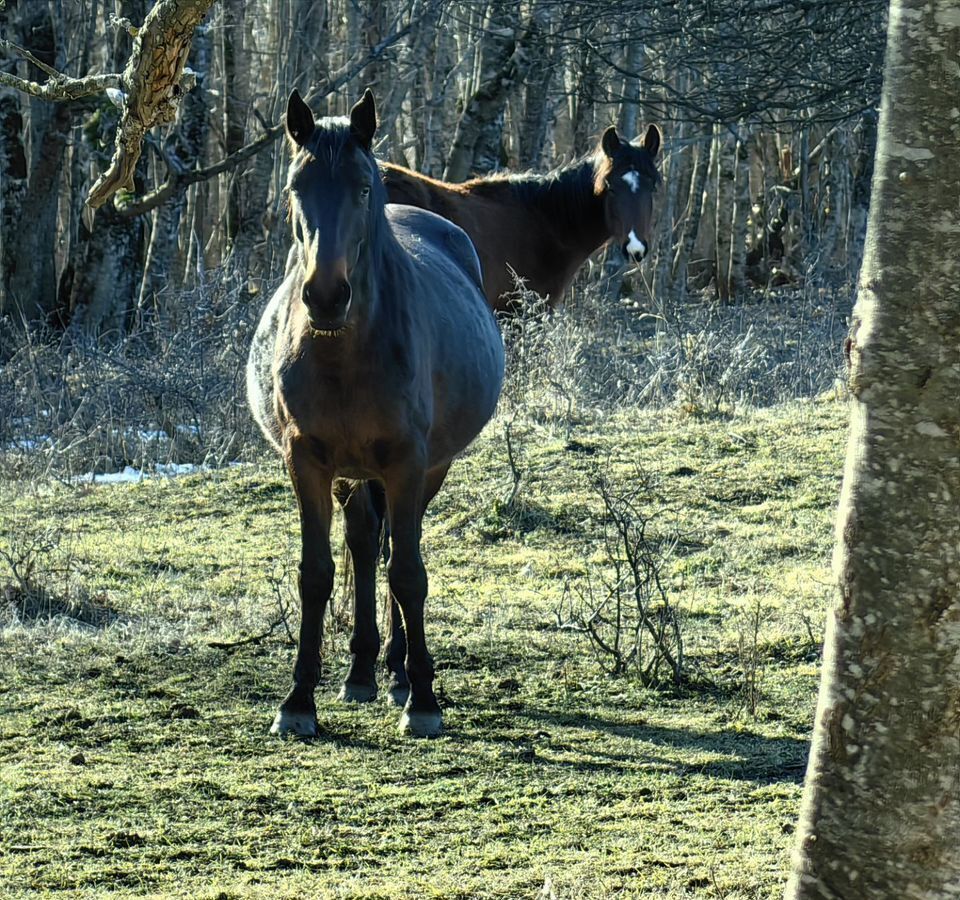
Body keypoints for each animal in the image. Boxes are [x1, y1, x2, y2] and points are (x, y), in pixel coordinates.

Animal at [246, 89, 502, 740]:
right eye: (296, 187)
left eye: (363, 188)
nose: (325, 295)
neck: (345, 353)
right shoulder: (307, 462)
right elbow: (316, 574)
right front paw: (298, 702)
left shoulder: (408, 463)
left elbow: (408, 572)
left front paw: (424, 700)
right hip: (352, 474)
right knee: (365, 543)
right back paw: (362, 670)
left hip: (425, 469)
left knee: (391, 552)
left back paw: (397, 674)